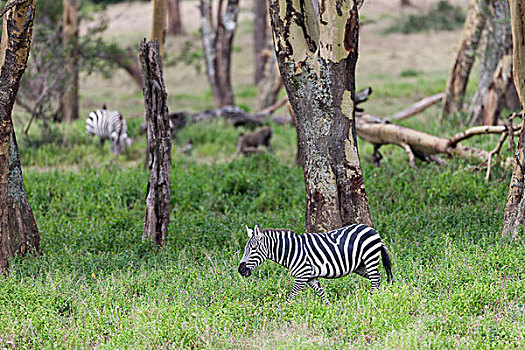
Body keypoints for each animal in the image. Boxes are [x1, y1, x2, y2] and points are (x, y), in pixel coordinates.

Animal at [238, 224, 392, 304]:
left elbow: (291, 296)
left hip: (369, 258)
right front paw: (329, 309)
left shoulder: (301, 276)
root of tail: (372, 229)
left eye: (253, 249)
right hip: (359, 266)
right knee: (377, 276)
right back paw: (377, 296)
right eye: (245, 249)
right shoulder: (310, 277)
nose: (240, 270)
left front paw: (284, 312)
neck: (291, 251)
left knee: (375, 278)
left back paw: (372, 299)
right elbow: (321, 293)